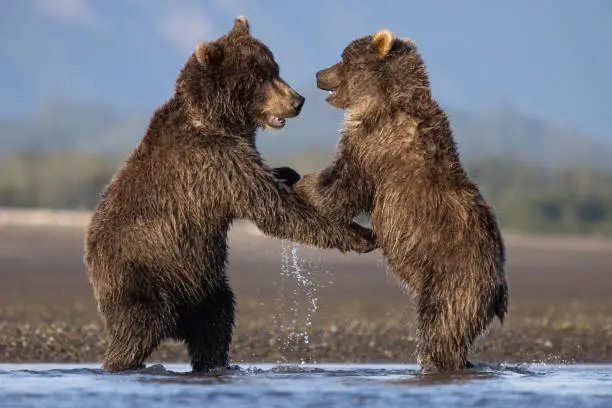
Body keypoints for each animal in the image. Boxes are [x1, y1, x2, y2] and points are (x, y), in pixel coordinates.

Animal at [83, 16, 376, 372]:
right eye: (261, 76)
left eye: (275, 69)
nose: (298, 100)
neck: (219, 120)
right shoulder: (216, 163)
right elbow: (275, 209)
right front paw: (361, 234)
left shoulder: (236, 155)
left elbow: (271, 183)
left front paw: (289, 174)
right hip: (142, 276)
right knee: (137, 329)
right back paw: (121, 362)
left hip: (205, 286)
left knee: (215, 325)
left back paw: (214, 363)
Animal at [294, 28, 510, 372]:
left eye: (343, 58)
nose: (318, 74)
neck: (382, 100)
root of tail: (499, 286)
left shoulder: (376, 143)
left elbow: (346, 183)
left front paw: (305, 184)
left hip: (454, 280)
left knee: (442, 324)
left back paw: (435, 361)